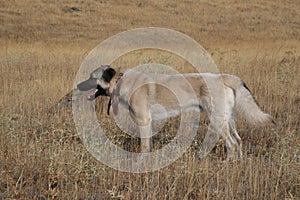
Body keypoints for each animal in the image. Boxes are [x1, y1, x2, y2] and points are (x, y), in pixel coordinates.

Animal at [77, 65, 274, 160]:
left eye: (92, 77)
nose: (77, 86)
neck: (120, 83)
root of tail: (223, 77)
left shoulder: (144, 121)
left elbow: (144, 147)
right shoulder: (148, 123)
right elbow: (148, 145)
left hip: (217, 120)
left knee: (231, 144)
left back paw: (227, 164)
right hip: (229, 120)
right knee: (238, 141)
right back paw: (238, 164)